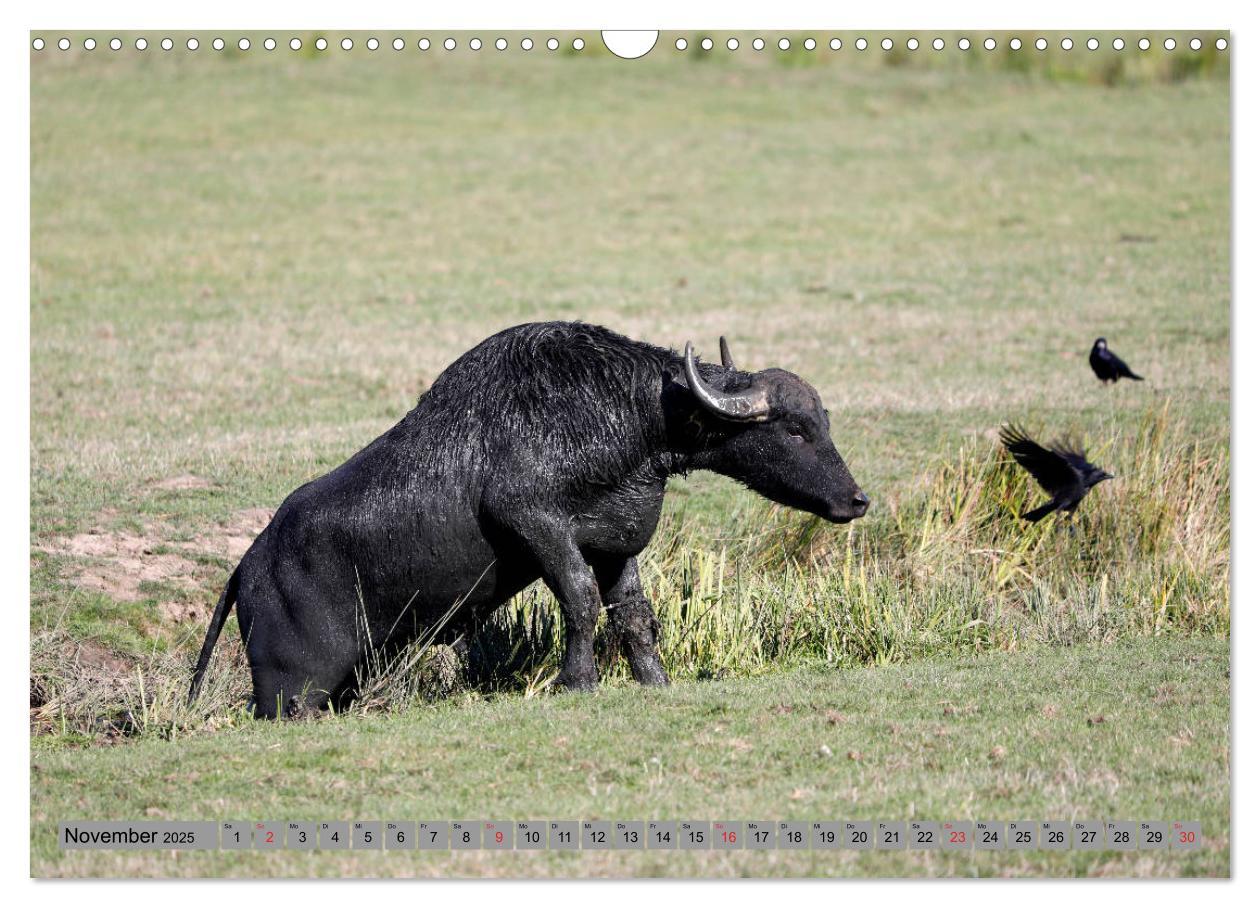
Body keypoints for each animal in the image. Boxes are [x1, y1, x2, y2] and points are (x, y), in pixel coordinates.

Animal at [191, 321, 871, 715]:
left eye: (824, 422)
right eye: (796, 429)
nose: (857, 499)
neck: (626, 416)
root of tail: (248, 565)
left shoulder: (615, 545)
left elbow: (634, 615)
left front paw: (654, 681)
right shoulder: (535, 523)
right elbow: (580, 599)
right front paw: (578, 681)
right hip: (289, 693)